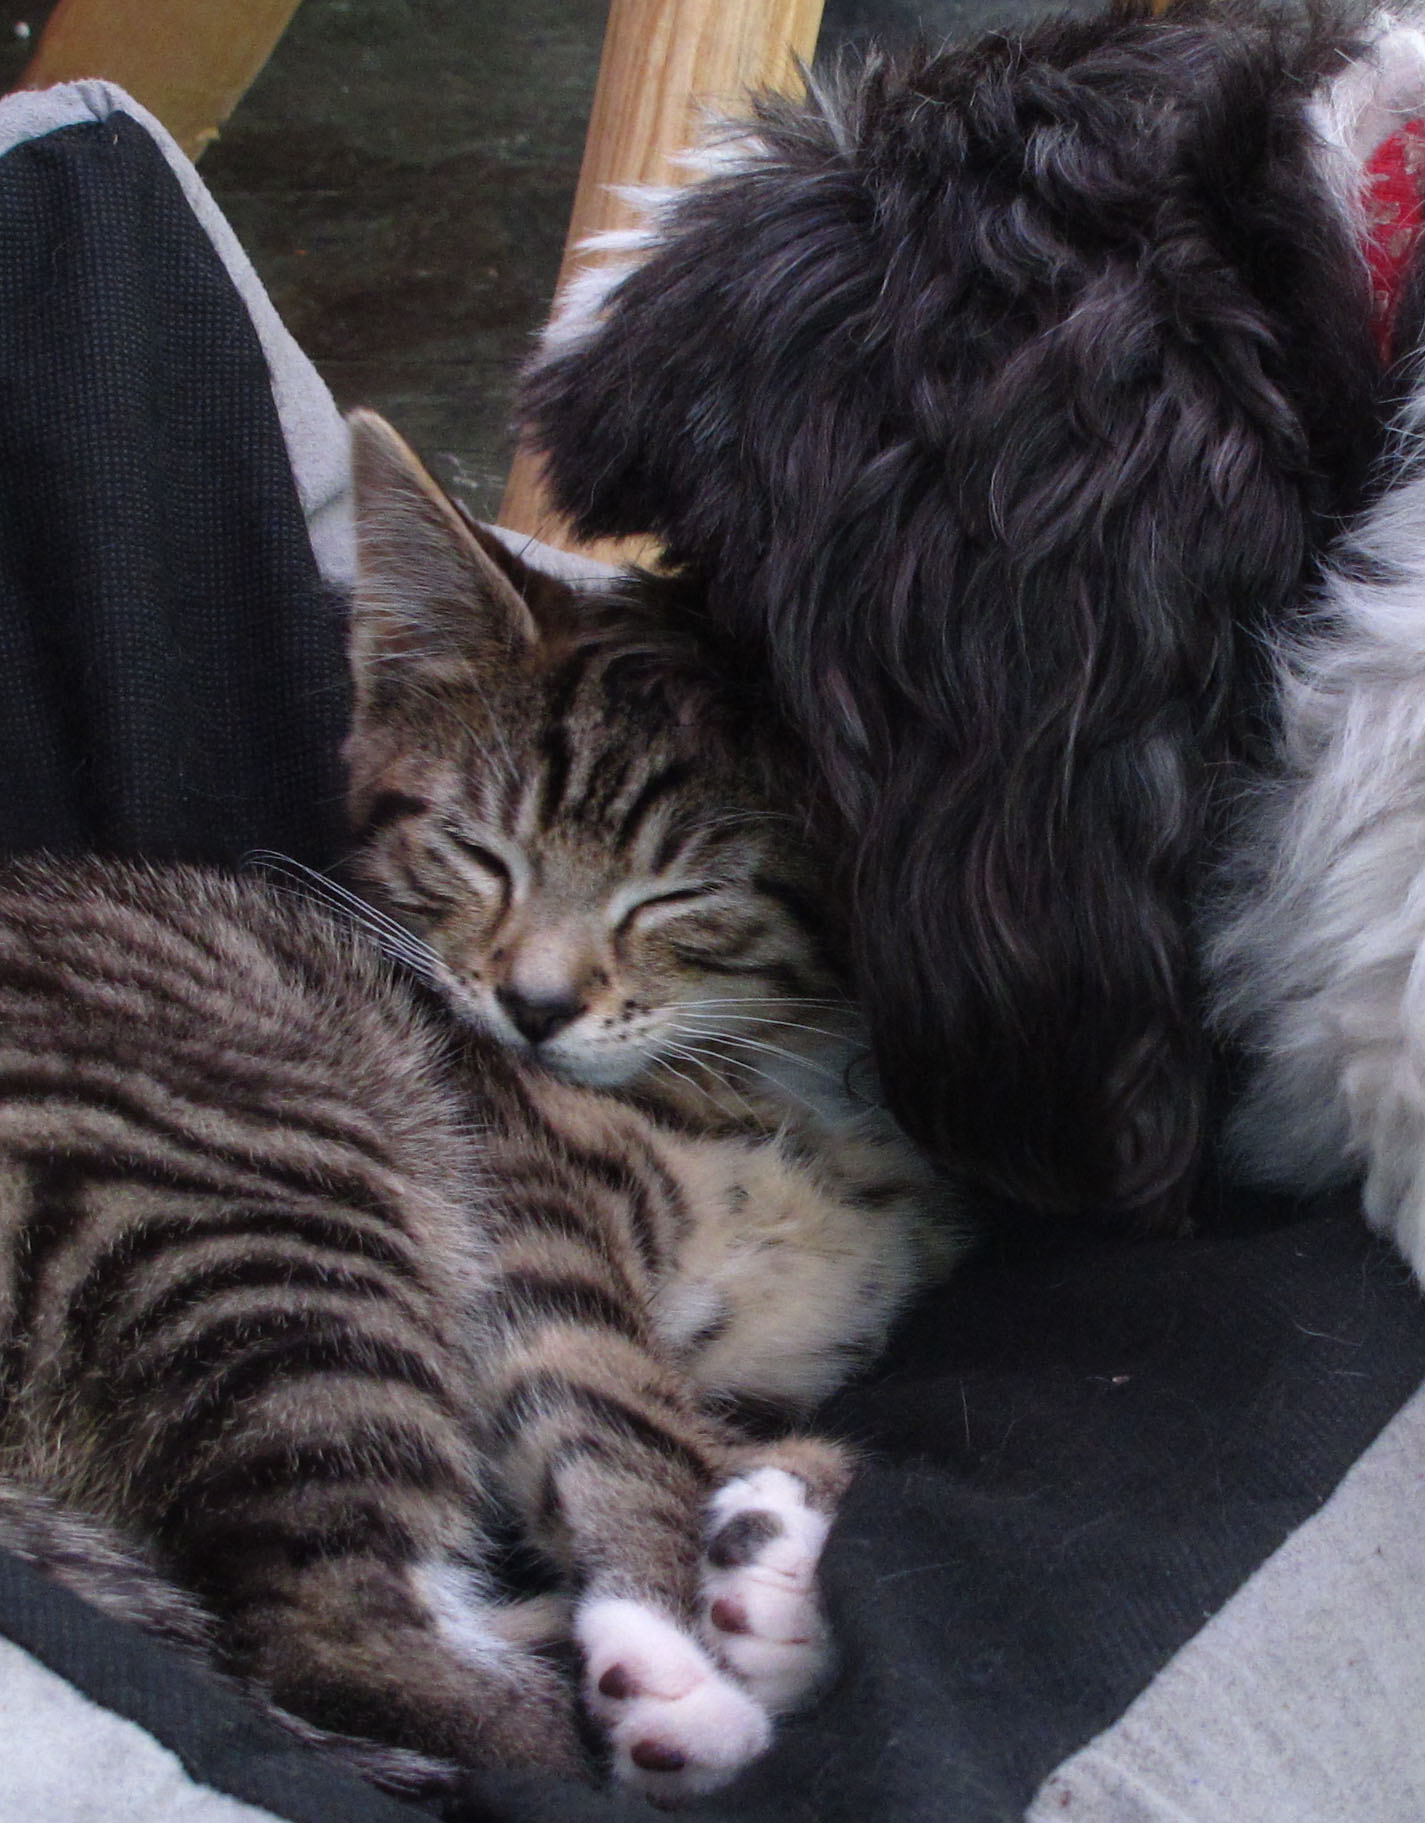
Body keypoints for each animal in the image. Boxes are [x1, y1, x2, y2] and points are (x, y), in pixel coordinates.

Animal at [0, 409, 960, 1805]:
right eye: (475, 851)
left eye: (675, 896)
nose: (535, 1003)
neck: (779, 1081)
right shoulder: (517, 1193)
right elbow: (615, 1399)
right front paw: (687, 1591)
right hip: (250, 1187)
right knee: (329, 1627)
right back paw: (671, 1686)